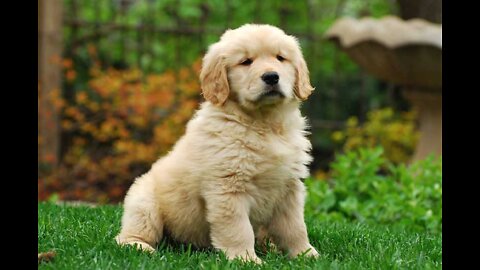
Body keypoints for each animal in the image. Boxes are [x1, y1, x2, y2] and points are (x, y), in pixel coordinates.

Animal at [116, 23, 318, 264]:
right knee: (129, 235)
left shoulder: (289, 187)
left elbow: (295, 227)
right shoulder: (228, 188)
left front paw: (306, 254)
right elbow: (238, 229)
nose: (271, 76)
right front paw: (245, 259)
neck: (263, 124)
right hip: (144, 202)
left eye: (280, 58)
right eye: (246, 62)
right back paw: (140, 246)